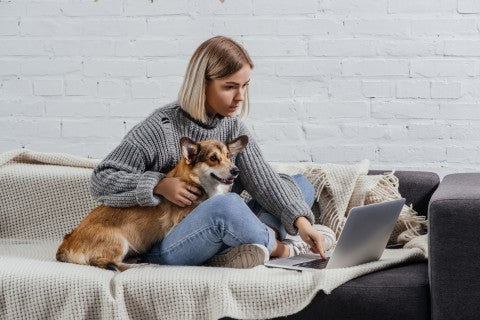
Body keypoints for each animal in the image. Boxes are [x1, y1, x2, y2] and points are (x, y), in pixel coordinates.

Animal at [57, 134, 248, 272]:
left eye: (228, 156)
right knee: (106, 262)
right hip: (118, 242)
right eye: (213, 158)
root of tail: (65, 244)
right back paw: (138, 264)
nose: (236, 170)